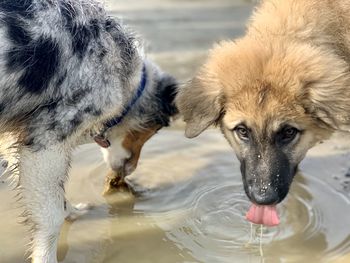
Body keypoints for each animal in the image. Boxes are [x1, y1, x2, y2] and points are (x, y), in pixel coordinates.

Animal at [0, 1, 176, 262]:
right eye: (152, 131)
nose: (130, 171)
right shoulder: (46, 144)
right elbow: (51, 216)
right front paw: (46, 255)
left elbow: (58, 201)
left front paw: (72, 211)